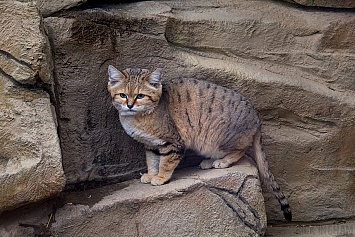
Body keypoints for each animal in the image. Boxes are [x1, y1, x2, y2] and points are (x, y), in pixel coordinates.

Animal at [108, 65, 292, 220]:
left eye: (140, 96)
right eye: (123, 95)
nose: (129, 105)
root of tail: (256, 117)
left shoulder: (173, 143)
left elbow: (165, 163)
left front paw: (160, 177)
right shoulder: (151, 145)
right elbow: (152, 161)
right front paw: (151, 174)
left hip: (219, 140)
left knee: (240, 150)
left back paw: (223, 161)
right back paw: (209, 162)